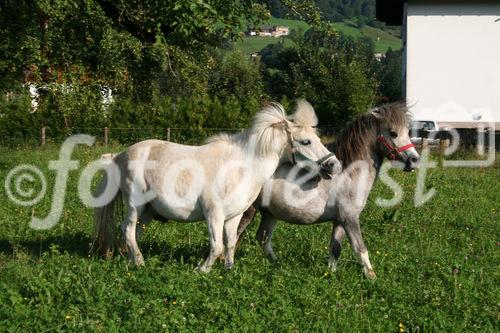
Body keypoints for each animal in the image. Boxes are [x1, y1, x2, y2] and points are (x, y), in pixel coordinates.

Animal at [93, 100, 340, 272]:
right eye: (306, 141)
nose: (333, 165)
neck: (242, 167)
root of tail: (120, 156)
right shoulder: (214, 214)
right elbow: (217, 245)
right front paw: (202, 269)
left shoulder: (233, 216)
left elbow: (230, 243)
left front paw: (228, 269)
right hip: (135, 205)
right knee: (127, 229)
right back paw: (140, 262)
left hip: (148, 211)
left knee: (133, 233)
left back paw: (130, 260)